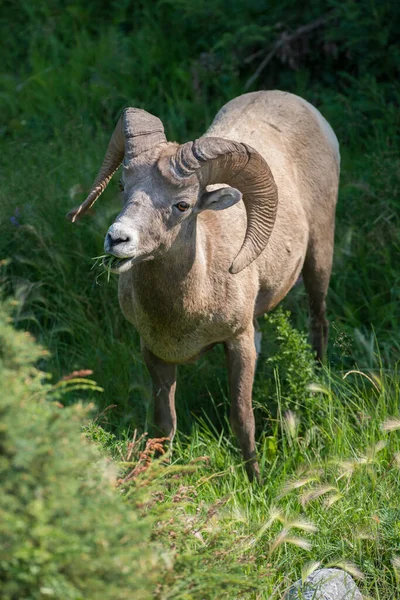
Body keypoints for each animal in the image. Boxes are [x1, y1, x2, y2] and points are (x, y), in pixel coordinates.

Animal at [67, 91, 340, 480]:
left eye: (182, 205)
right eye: (122, 187)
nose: (118, 239)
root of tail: (296, 102)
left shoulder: (238, 342)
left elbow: (242, 419)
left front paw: (255, 481)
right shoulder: (155, 353)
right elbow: (165, 423)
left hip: (319, 257)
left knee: (319, 322)